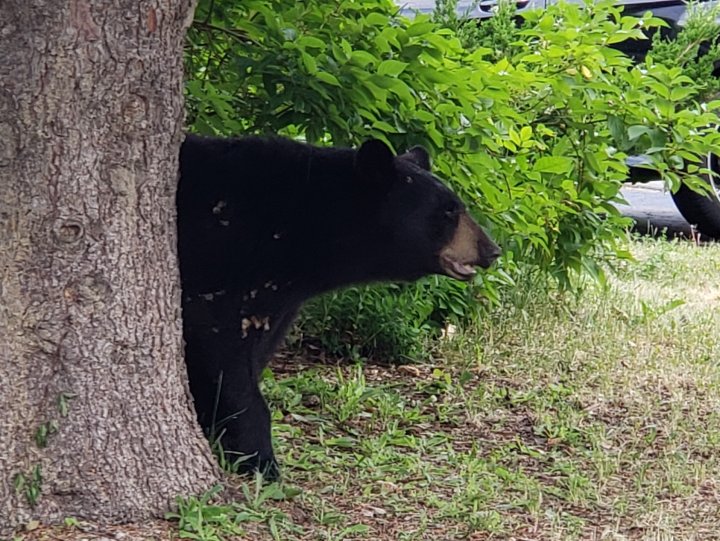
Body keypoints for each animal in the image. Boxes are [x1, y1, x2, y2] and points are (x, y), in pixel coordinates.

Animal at [177, 135, 498, 476]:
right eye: (448, 212)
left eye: (457, 206)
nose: (491, 249)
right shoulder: (220, 270)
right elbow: (224, 359)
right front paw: (260, 460)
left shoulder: (276, 301)